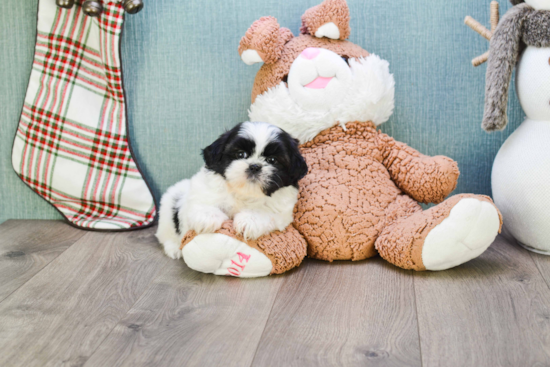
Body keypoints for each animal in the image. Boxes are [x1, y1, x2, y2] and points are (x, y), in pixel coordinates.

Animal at [157, 122, 308, 260]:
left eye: (272, 160)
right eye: (241, 154)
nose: (254, 166)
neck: (243, 192)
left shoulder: (282, 211)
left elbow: (266, 212)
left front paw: (249, 220)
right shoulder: (202, 190)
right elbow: (202, 201)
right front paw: (208, 216)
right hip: (168, 208)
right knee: (165, 233)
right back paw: (174, 248)